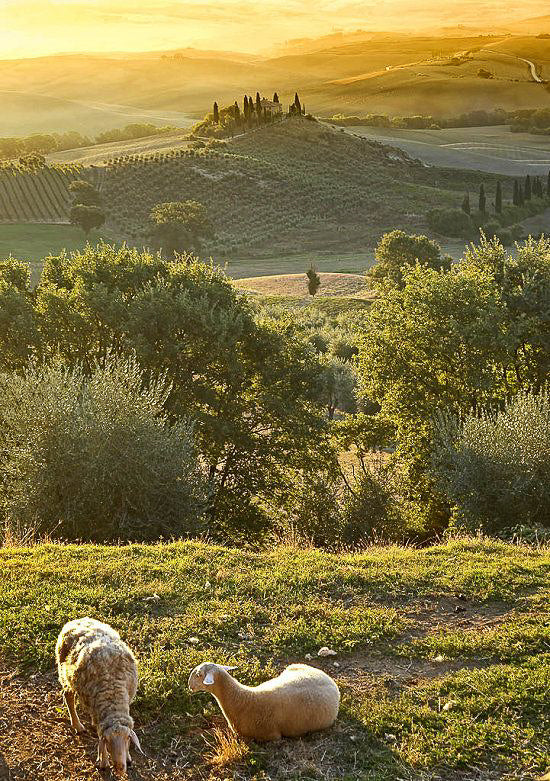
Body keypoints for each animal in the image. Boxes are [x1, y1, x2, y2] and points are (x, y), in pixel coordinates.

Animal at [55, 616, 142, 772]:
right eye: (107, 741)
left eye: (127, 738)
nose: (120, 767)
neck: (113, 694)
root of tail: (77, 620)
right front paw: (104, 762)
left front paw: (128, 758)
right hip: (64, 673)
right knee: (68, 697)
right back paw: (77, 726)